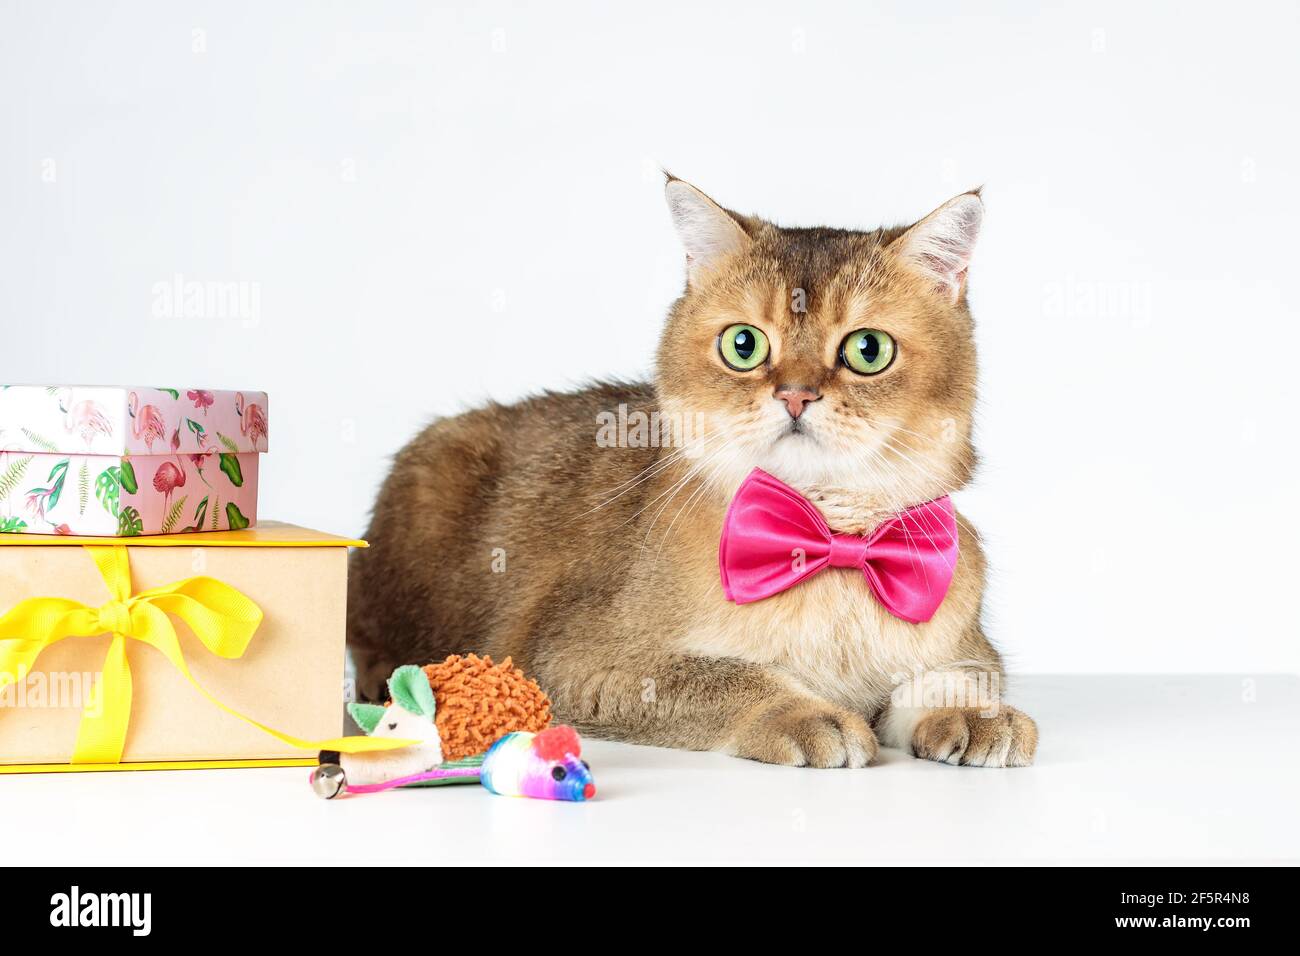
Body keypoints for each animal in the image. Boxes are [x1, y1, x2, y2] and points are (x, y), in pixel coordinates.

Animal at [345, 178, 1034, 770]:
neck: (823, 545)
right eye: (743, 345)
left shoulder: (966, 643)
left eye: (869, 350)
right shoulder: (573, 661)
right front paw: (799, 712)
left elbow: (959, 678)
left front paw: (980, 716)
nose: (796, 395)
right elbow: (726, 677)